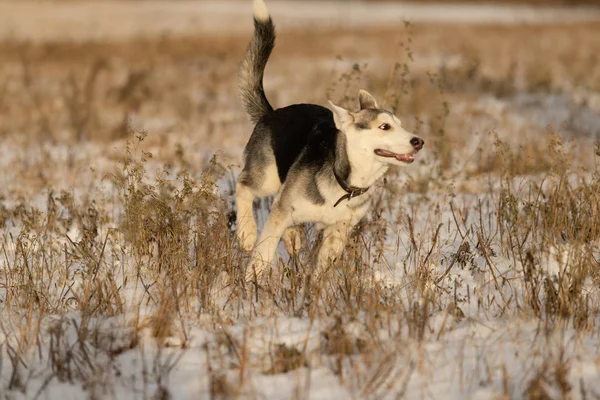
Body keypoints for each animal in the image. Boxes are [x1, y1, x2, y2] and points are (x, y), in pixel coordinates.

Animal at [237, 0, 424, 282]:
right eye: (384, 126)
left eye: (400, 124)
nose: (418, 141)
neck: (345, 183)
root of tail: (272, 113)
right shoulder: (280, 214)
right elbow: (263, 252)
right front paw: (250, 283)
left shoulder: (338, 231)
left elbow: (322, 266)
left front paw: (313, 290)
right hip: (266, 178)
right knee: (244, 186)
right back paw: (246, 232)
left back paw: (290, 239)